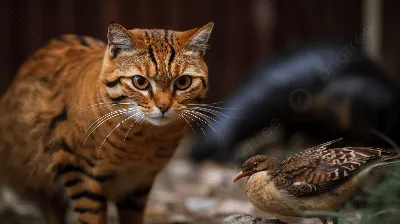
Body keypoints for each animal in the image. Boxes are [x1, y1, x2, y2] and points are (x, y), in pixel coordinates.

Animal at [0, 21, 214, 224]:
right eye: (140, 82)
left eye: (183, 82)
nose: (163, 106)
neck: (143, 143)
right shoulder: (79, 174)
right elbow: (91, 217)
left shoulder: (139, 182)